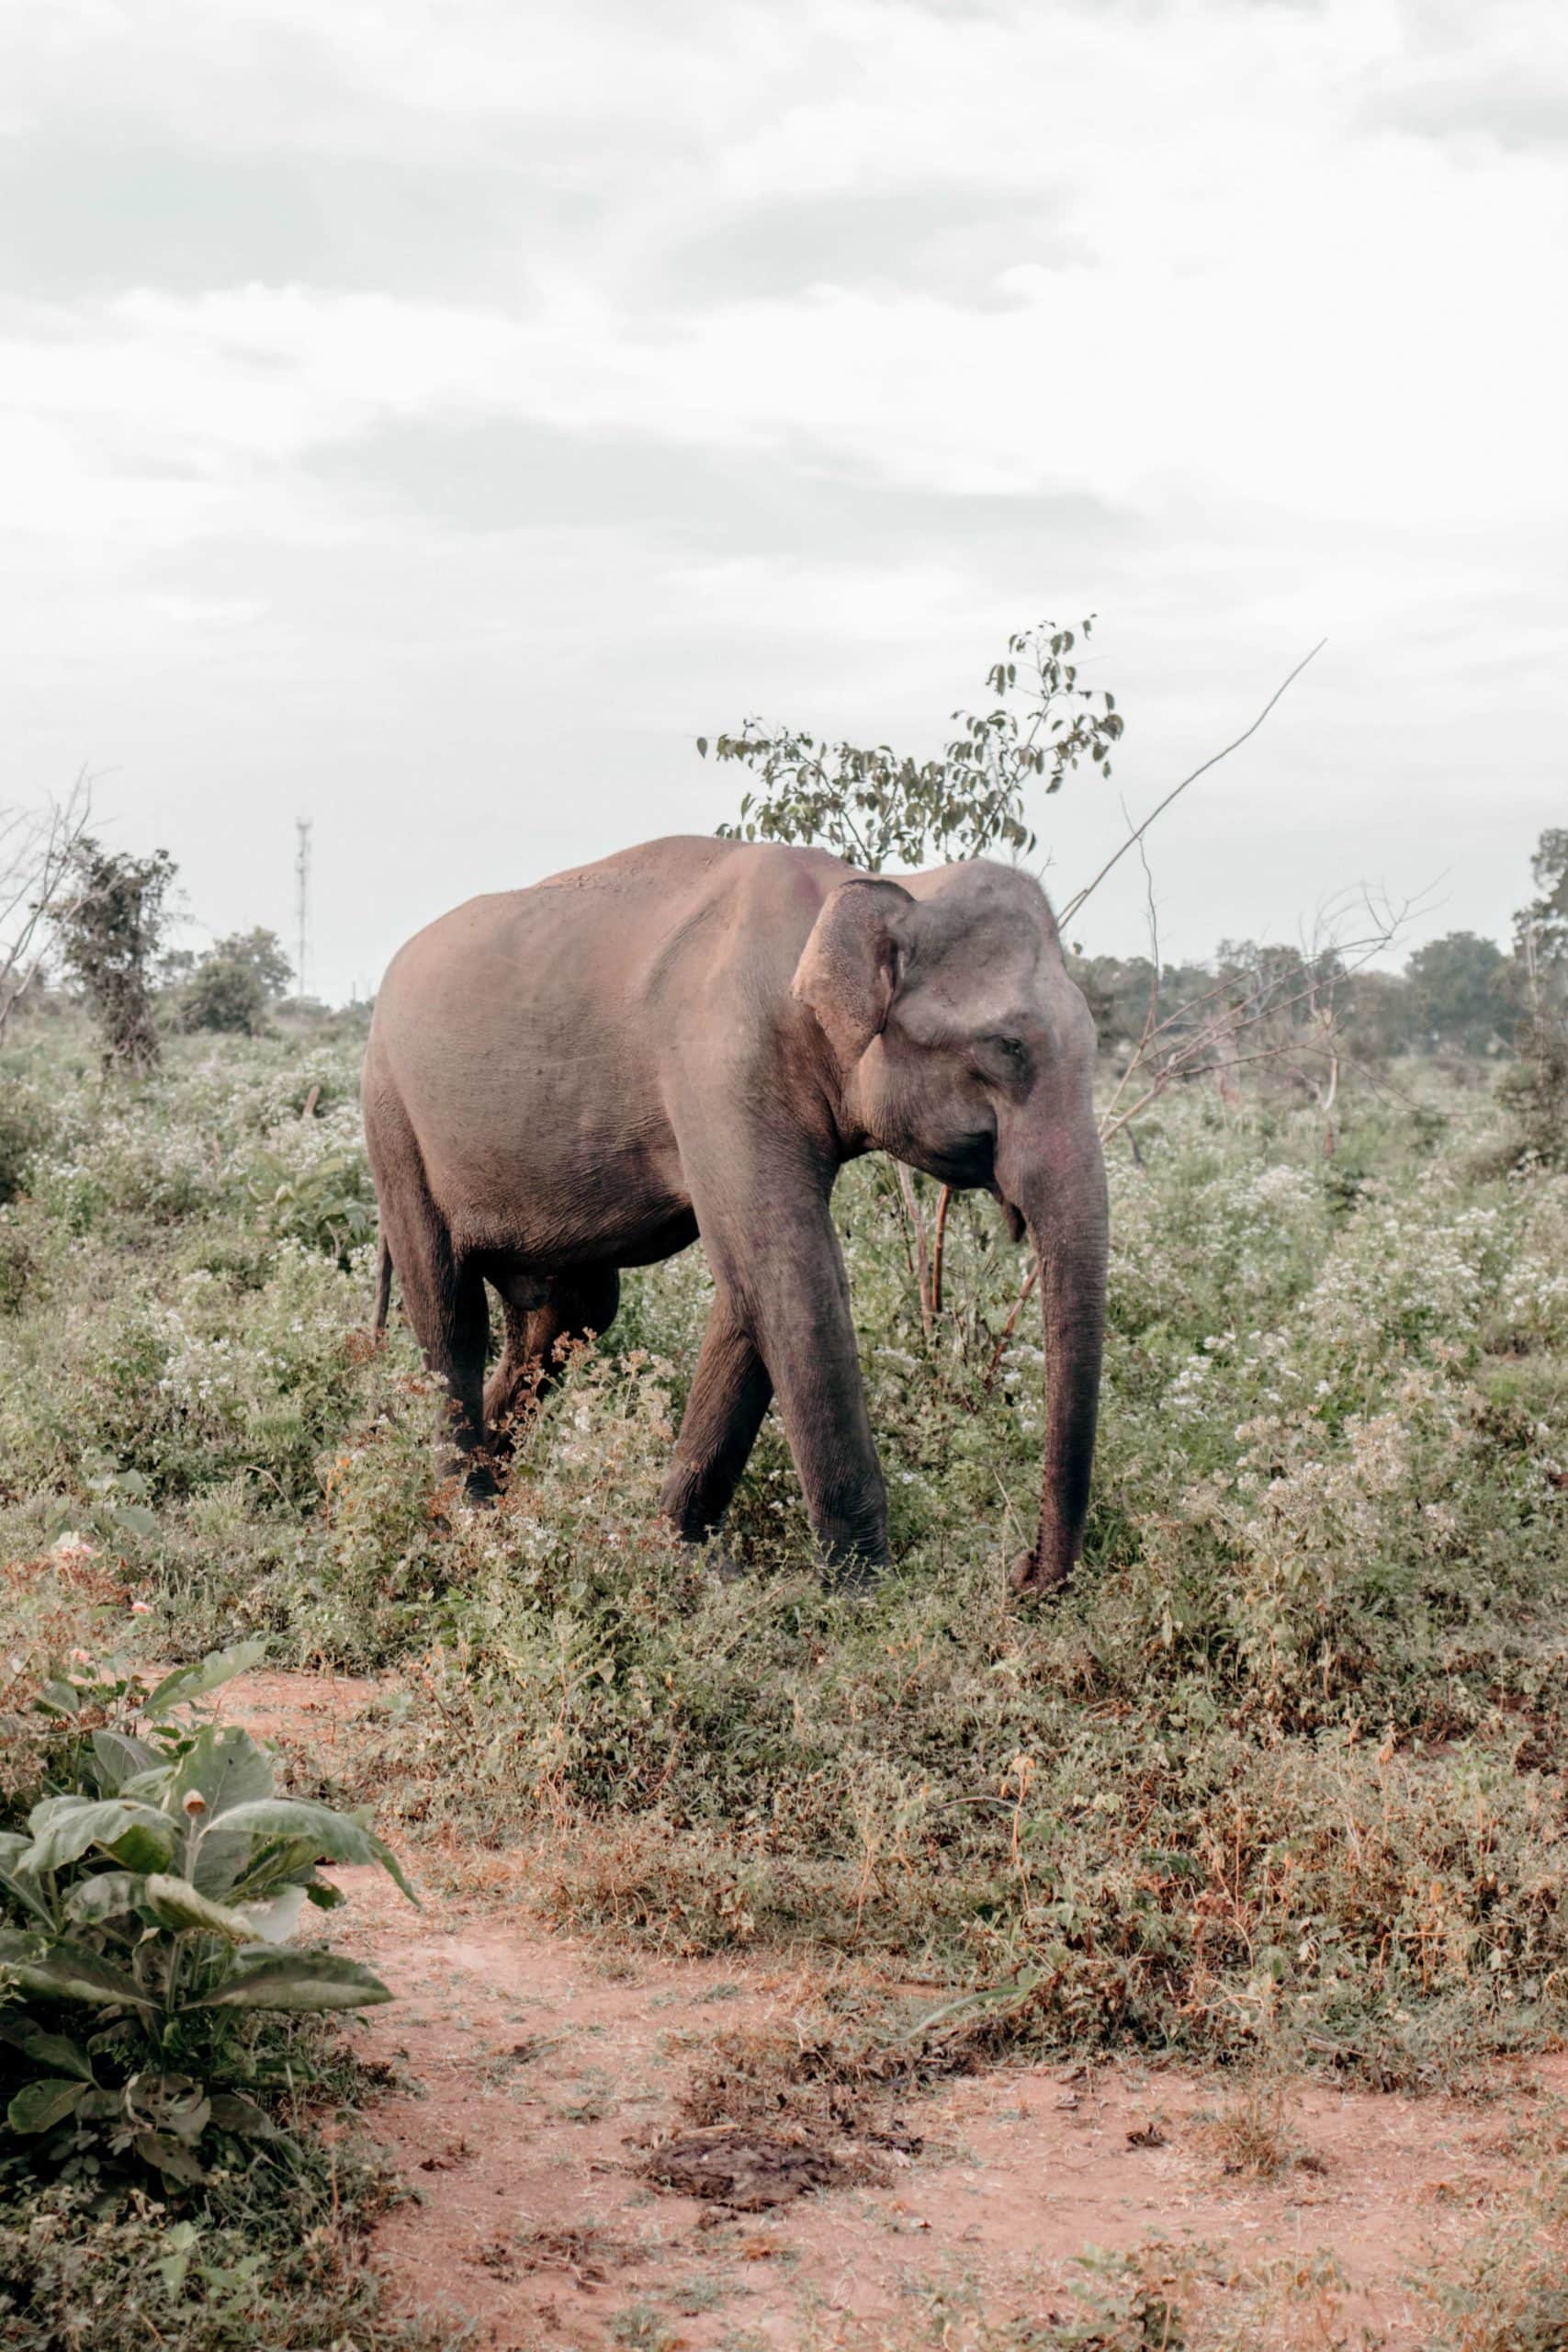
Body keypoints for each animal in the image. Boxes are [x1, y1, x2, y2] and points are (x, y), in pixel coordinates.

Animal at [362, 832, 1109, 1599]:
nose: (1020, 1571)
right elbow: (790, 1282)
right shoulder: (721, 1066)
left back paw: (503, 1499)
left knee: (570, 1317)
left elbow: (750, 1293)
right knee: (450, 1312)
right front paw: (864, 1593)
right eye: (1007, 1047)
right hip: (391, 1117)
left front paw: (683, 1556)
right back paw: (472, 1523)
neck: (868, 891)